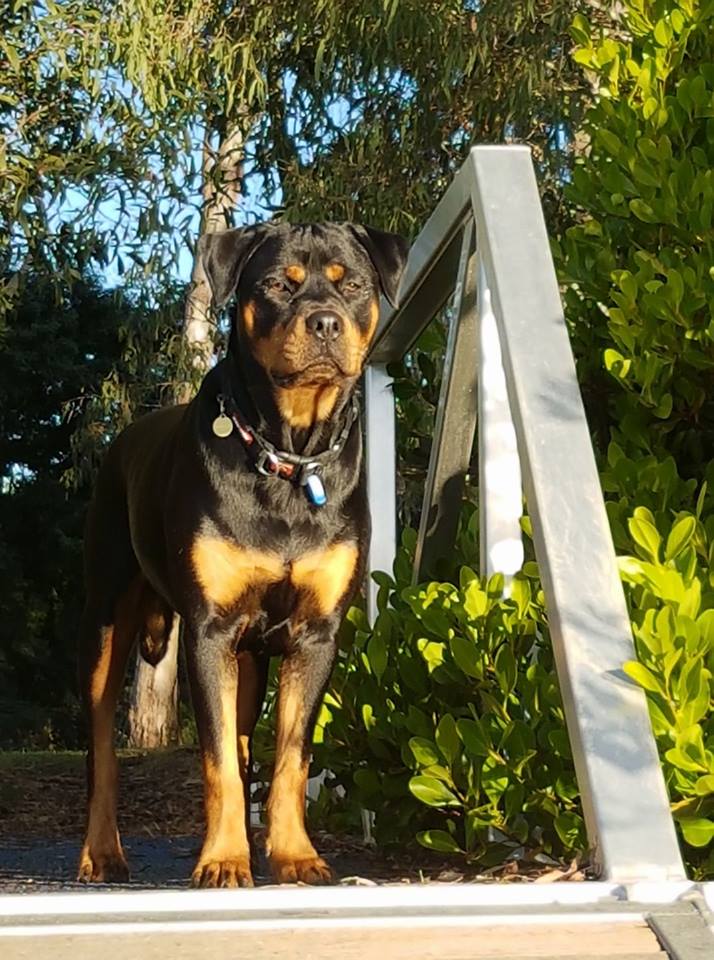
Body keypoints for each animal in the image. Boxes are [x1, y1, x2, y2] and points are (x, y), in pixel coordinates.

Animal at [76, 221, 406, 888]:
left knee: (250, 741)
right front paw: (224, 860)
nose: (325, 322)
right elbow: (218, 759)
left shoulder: (315, 632)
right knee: (102, 752)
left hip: (251, 657)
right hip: (107, 615)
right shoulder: (210, 629)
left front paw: (295, 855)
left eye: (353, 285)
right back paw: (101, 852)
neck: (287, 452)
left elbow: (291, 757)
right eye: (279, 284)